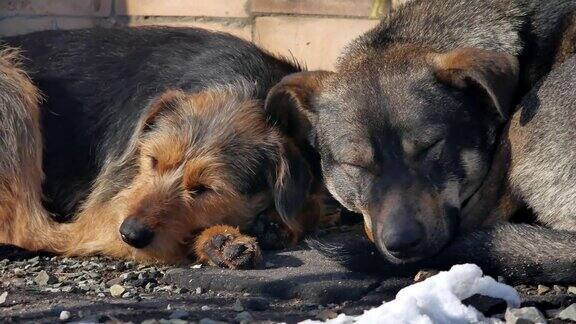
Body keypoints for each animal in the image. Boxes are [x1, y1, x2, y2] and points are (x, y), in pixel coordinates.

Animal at [0, 26, 322, 268]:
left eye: (204, 188)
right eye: (153, 161)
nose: (131, 233)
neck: (240, 87)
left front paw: (279, 221)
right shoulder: (110, 203)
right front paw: (220, 239)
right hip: (12, 87)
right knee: (29, 229)